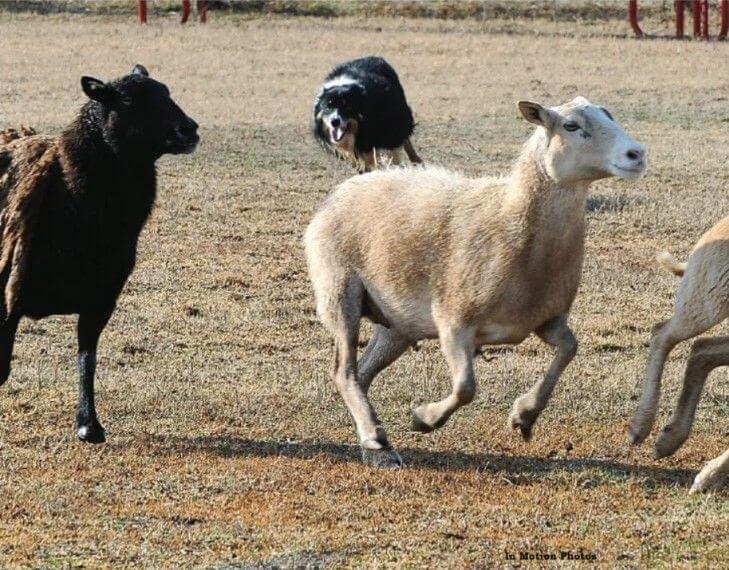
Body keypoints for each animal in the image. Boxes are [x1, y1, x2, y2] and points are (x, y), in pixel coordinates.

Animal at [0, 64, 198, 443]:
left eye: (166, 92)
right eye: (127, 100)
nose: (190, 130)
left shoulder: (101, 299)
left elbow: (86, 359)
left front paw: (88, 425)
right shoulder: (9, 298)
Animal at [305, 97, 646, 467]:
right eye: (571, 126)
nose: (637, 154)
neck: (510, 218)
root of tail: (342, 192)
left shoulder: (546, 319)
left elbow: (569, 349)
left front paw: (525, 416)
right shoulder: (453, 321)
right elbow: (466, 386)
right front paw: (424, 418)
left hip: (397, 323)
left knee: (363, 374)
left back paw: (376, 447)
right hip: (340, 294)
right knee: (344, 371)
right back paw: (375, 436)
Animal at [629, 217, 729, 492]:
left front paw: (709, 476)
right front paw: (707, 477)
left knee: (700, 349)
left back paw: (669, 439)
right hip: (710, 301)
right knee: (661, 334)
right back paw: (640, 428)